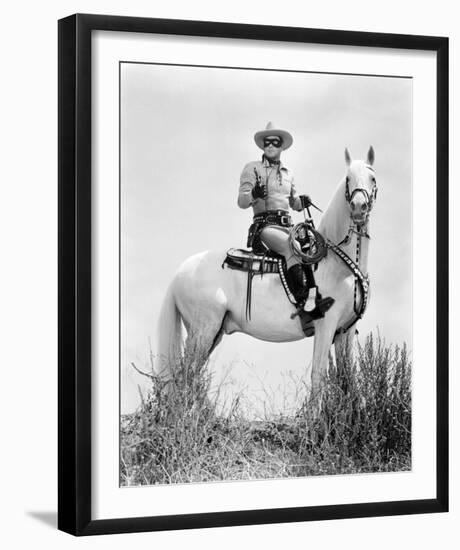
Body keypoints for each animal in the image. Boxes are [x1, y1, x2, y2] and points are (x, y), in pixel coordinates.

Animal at [156, 148, 380, 402]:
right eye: (348, 179)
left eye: (372, 178)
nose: (359, 207)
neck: (338, 265)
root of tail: (180, 272)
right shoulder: (326, 325)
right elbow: (318, 377)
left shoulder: (345, 331)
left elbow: (347, 381)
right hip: (203, 331)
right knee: (183, 378)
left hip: (211, 334)